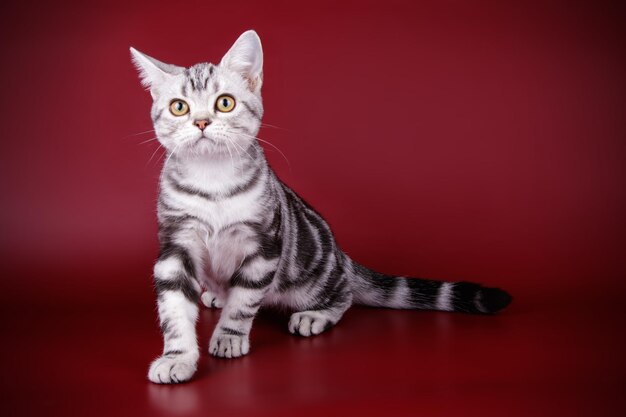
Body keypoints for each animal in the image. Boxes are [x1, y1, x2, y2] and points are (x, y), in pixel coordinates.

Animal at [129, 30, 510, 384]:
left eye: (224, 103)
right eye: (179, 107)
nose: (202, 122)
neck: (213, 182)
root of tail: (342, 257)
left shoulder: (264, 247)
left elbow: (244, 302)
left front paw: (229, 336)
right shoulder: (176, 244)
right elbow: (174, 310)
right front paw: (177, 357)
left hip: (312, 280)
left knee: (344, 296)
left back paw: (314, 314)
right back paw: (217, 296)